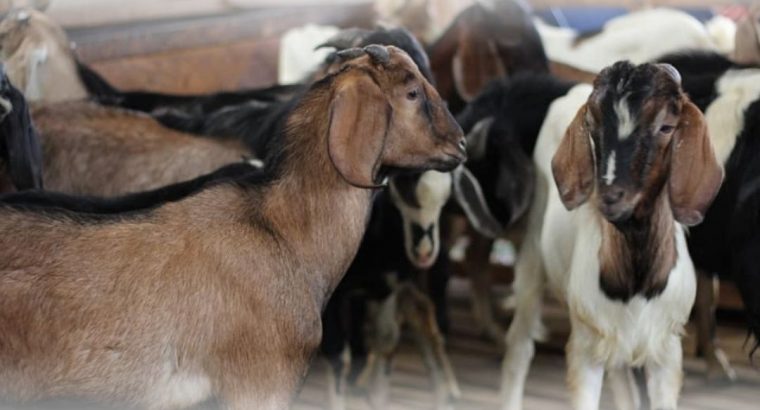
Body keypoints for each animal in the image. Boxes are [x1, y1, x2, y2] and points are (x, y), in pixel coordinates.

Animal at [502, 62, 720, 410]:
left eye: (666, 127)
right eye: (592, 125)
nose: (610, 196)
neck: (636, 284)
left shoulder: (666, 350)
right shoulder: (586, 346)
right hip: (533, 247)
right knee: (520, 343)